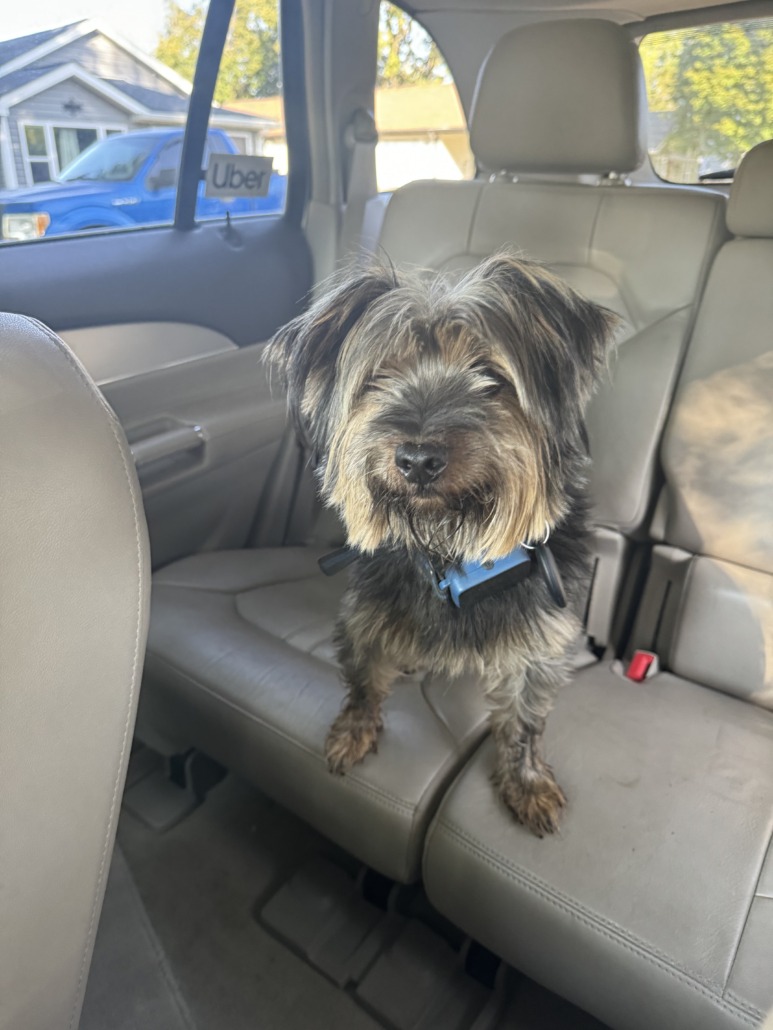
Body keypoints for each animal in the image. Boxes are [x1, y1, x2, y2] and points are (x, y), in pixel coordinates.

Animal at [265, 254, 618, 835]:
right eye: (379, 377)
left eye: (491, 376)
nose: (417, 459)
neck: (452, 555)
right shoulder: (365, 615)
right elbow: (363, 680)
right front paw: (353, 732)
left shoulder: (541, 641)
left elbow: (524, 720)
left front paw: (526, 783)